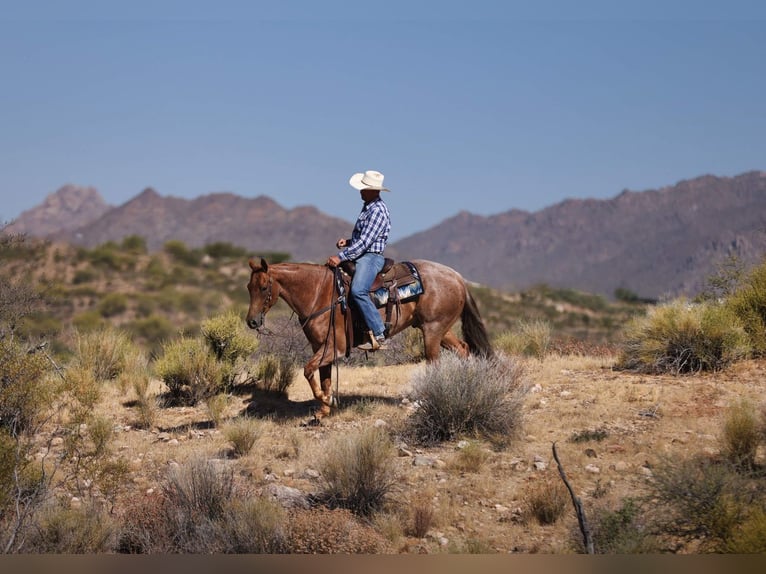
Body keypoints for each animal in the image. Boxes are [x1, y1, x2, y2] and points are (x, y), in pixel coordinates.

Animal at [245, 257, 493, 420]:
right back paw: (468, 389)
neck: (319, 293)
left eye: (264, 287)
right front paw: (324, 410)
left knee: (434, 363)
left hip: (432, 331)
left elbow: (307, 371)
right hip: (439, 329)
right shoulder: (320, 347)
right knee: (464, 349)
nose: (252, 322)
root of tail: (458, 278)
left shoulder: (335, 347)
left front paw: (328, 401)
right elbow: (324, 378)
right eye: (249, 287)